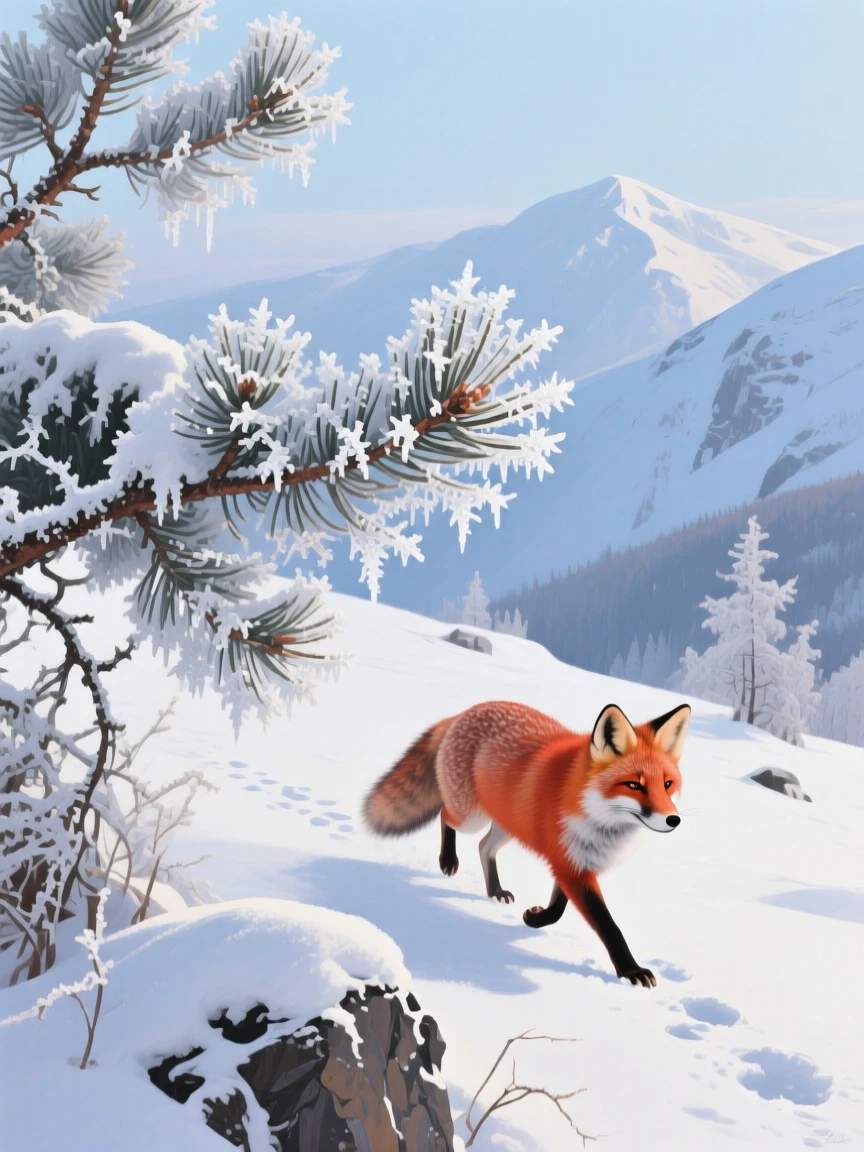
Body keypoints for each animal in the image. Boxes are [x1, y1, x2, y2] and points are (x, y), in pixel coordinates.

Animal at [363, 699, 691, 988]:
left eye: (667, 785)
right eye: (634, 785)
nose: (673, 820)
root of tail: (469, 709)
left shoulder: (575, 860)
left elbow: (558, 907)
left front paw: (535, 917)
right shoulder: (568, 862)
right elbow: (608, 925)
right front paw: (631, 971)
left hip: (507, 826)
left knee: (484, 847)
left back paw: (495, 891)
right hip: (471, 817)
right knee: (446, 815)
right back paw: (448, 861)